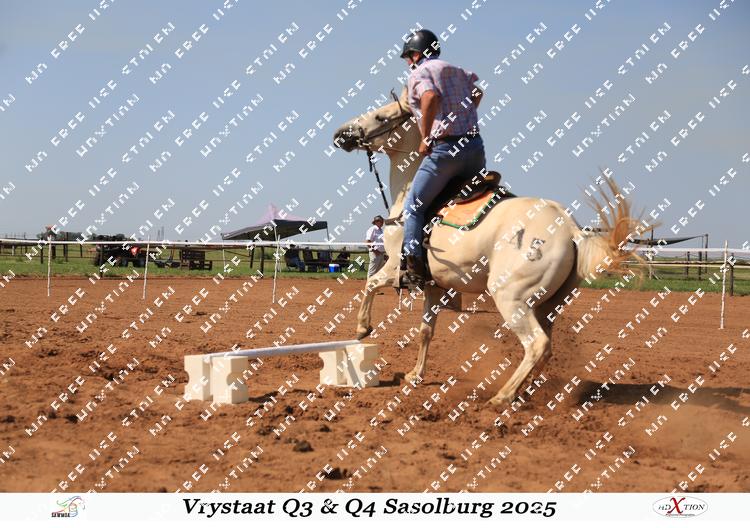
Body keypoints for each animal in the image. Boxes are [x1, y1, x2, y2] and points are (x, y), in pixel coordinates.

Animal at [332, 89, 638, 405]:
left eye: (382, 116)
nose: (341, 134)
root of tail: (569, 228)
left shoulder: (395, 266)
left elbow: (370, 284)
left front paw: (362, 328)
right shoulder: (434, 286)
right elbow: (426, 331)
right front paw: (416, 375)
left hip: (511, 298)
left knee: (537, 344)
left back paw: (503, 396)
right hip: (548, 304)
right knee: (546, 347)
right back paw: (527, 391)